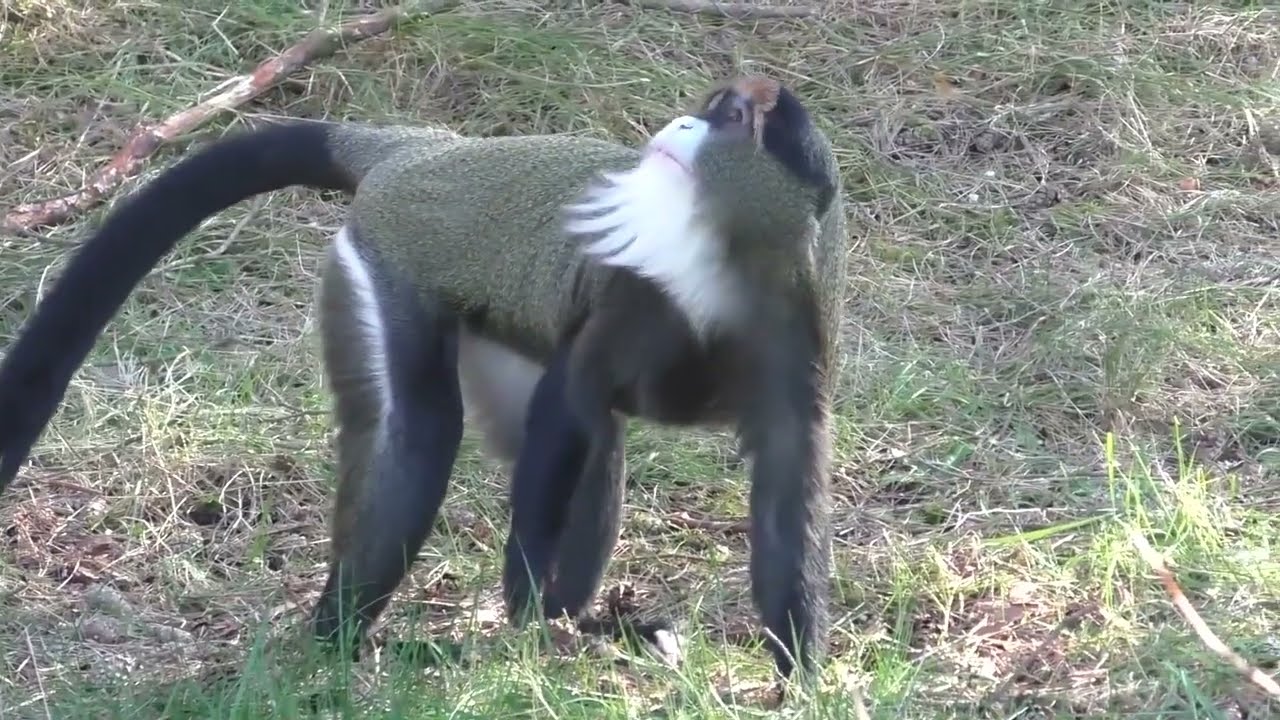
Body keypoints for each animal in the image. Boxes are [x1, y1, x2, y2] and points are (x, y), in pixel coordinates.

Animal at [0, 75, 845, 682]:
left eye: (730, 116)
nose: (681, 125)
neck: (721, 265)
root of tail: (414, 153)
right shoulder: (628, 296)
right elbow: (570, 397)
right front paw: (525, 600)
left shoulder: (798, 331)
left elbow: (784, 483)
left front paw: (799, 672)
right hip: (384, 264)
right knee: (422, 432)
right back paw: (352, 642)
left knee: (595, 447)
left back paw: (575, 625)